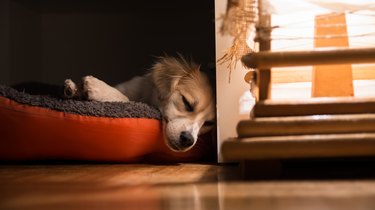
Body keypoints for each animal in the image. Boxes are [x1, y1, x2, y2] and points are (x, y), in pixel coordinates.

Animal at [65, 55, 214, 152]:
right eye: (187, 103)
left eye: (209, 123)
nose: (188, 140)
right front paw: (75, 88)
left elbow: (126, 99)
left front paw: (98, 88)